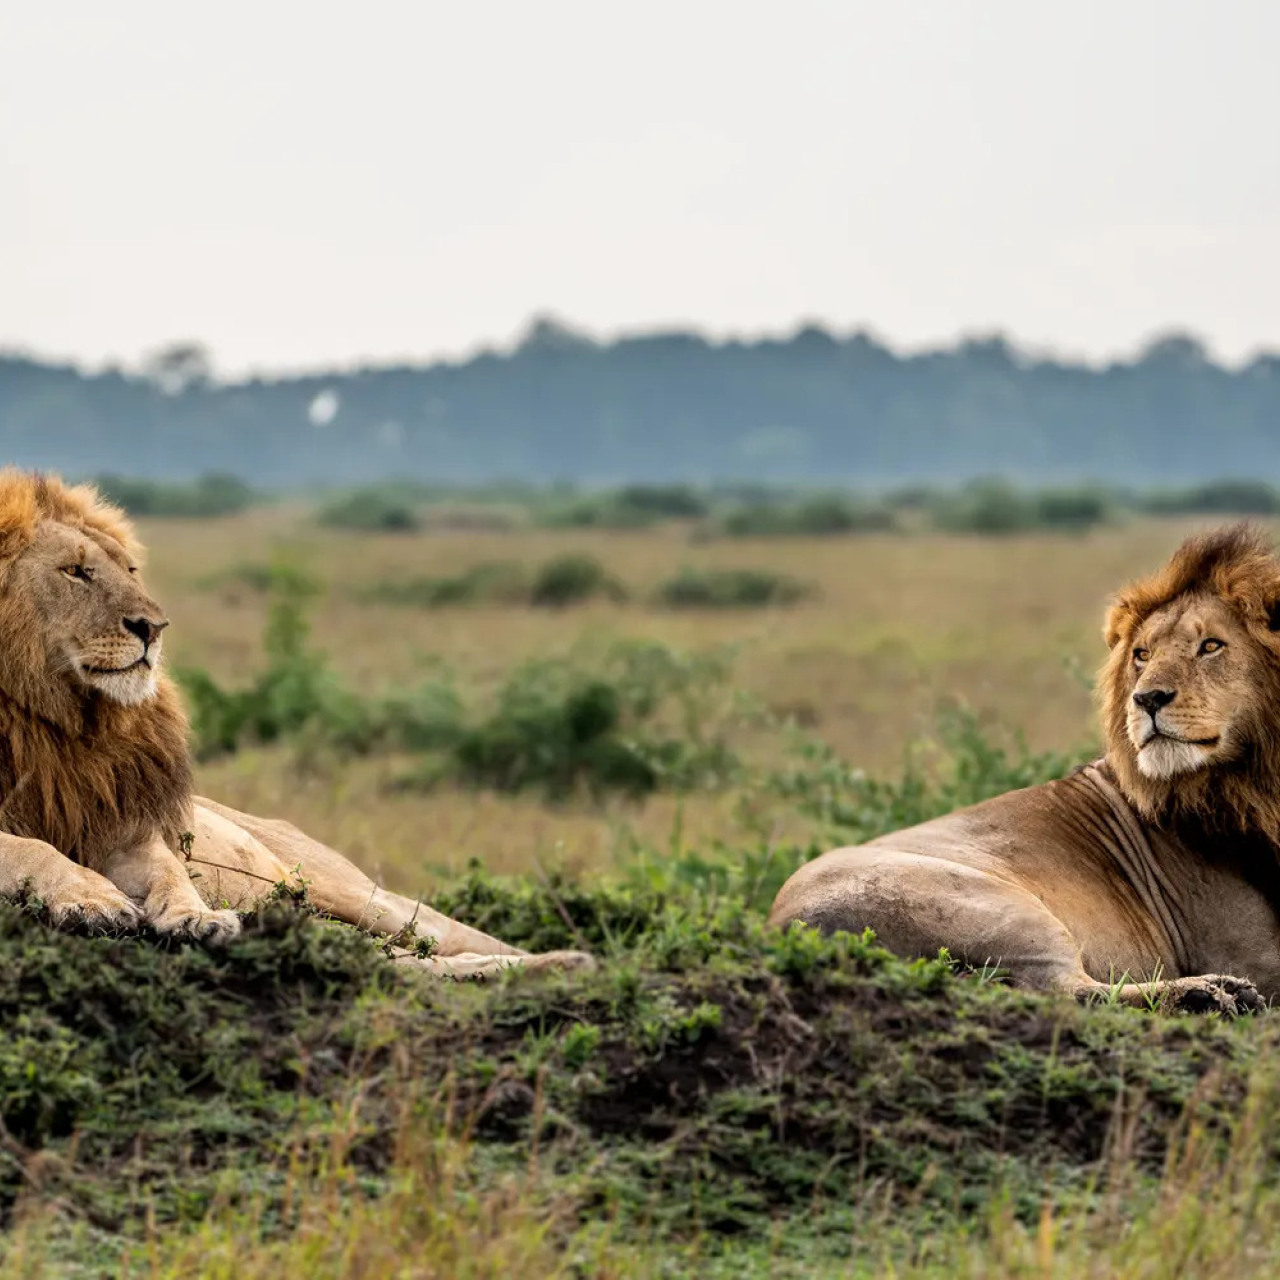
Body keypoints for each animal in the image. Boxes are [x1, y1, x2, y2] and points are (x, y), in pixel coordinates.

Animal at [0, 470, 590, 978]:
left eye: (129, 570)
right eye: (75, 571)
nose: (154, 627)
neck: (58, 718)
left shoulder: (123, 825)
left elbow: (169, 870)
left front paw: (197, 916)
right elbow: (31, 848)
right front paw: (92, 897)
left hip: (358, 894)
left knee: (439, 939)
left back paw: (573, 961)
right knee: (408, 961)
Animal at [768, 523, 1280, 1015]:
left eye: (1210, 646)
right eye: (1143, 655)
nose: (1147, 698)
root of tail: (782, 923)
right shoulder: (1247, 953)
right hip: (1001, 908)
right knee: (1071, 990)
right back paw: (1209, 995)